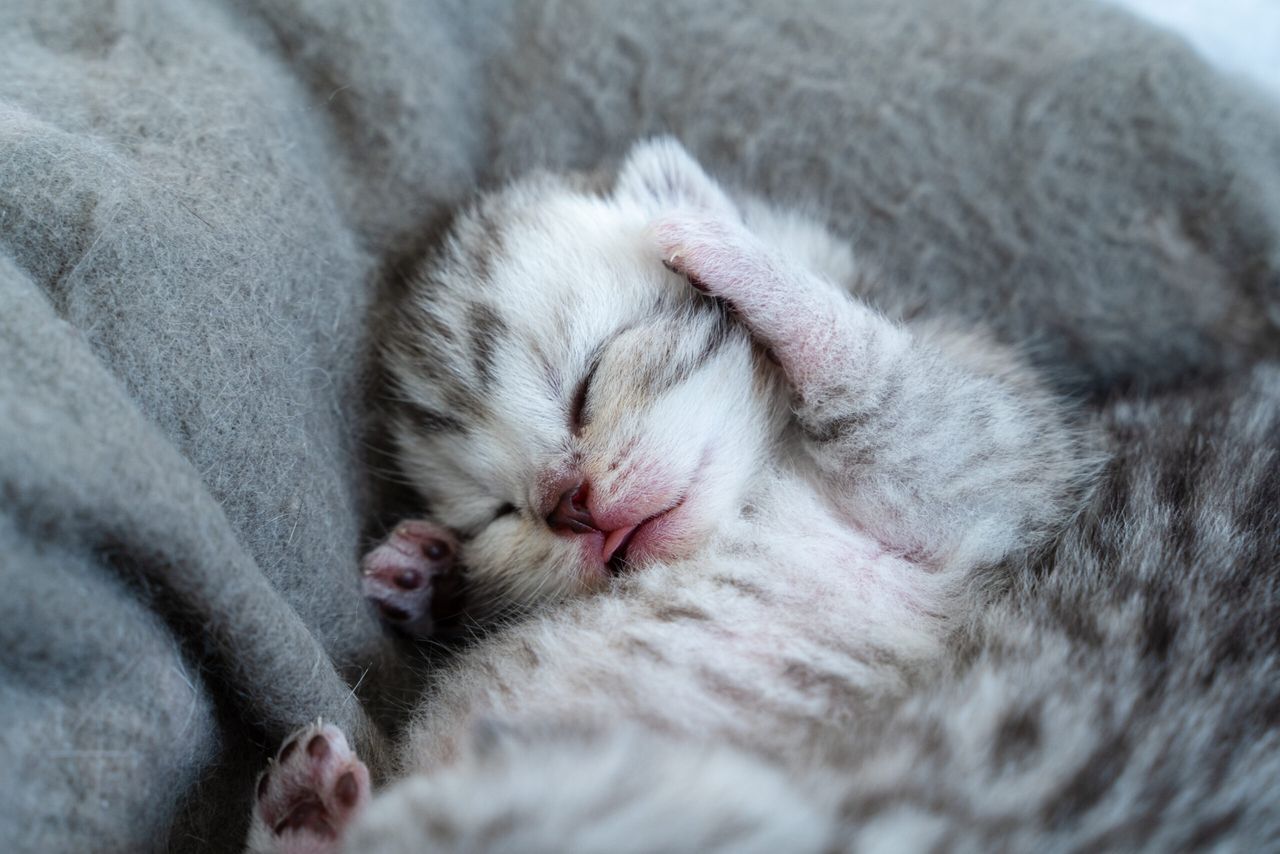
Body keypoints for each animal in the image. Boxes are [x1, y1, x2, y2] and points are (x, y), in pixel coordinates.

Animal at [247, 142, 1090, 854]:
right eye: (499, 512)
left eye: (585, 387)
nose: (573, 508)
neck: (757, 487)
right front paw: (431, 572)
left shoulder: (1001, 461)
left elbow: (896, 395)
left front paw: (736, 256)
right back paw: (308, 809)